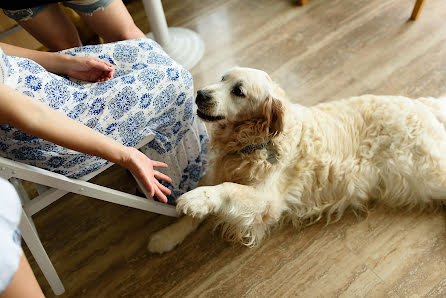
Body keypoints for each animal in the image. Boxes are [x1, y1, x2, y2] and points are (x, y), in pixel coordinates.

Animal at [148, 66, 446, 253]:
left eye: (238, 91)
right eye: (222, 78)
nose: (200, 94)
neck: (254, 141)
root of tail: (422, 104)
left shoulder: (267, 202)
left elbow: (226, 189)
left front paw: (195, 199)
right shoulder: (219, 171)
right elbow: (192, 216)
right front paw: (166, 237)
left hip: (428, 170)